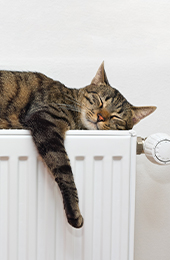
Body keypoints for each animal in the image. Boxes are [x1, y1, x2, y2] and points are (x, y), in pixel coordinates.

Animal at [0, 62, 157, 228]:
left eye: (116, 117)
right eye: (100, 100)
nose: (101, 117)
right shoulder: (46, 121)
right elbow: (65, 172)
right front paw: (73, 210)